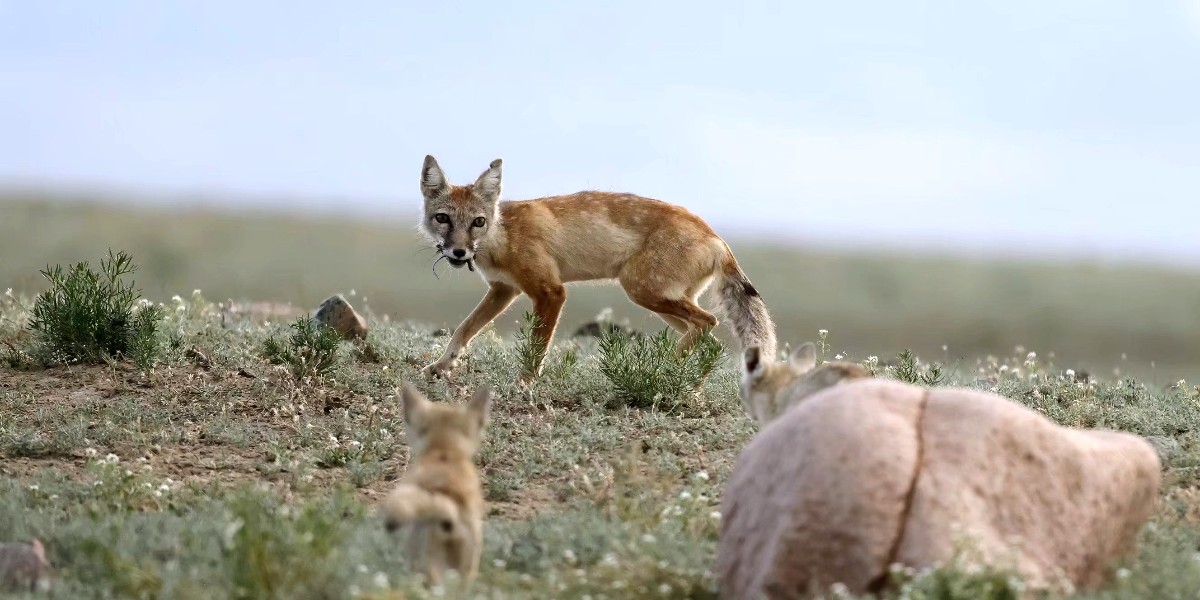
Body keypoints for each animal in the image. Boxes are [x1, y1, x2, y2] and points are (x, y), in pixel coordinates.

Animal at [416, 155, 777, 381]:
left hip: (643, 291)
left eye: (478, 222)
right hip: (662, 302)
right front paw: (440, 366)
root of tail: (716, 236)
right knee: (711, 340)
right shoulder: (503, 290)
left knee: (708, 323)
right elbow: (464, 330)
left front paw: (526, 382)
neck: (502, 235)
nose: (459, 252)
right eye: (443, 218)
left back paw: (665, 371)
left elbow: (536, 348)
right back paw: (691, 383)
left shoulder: (550, 292)